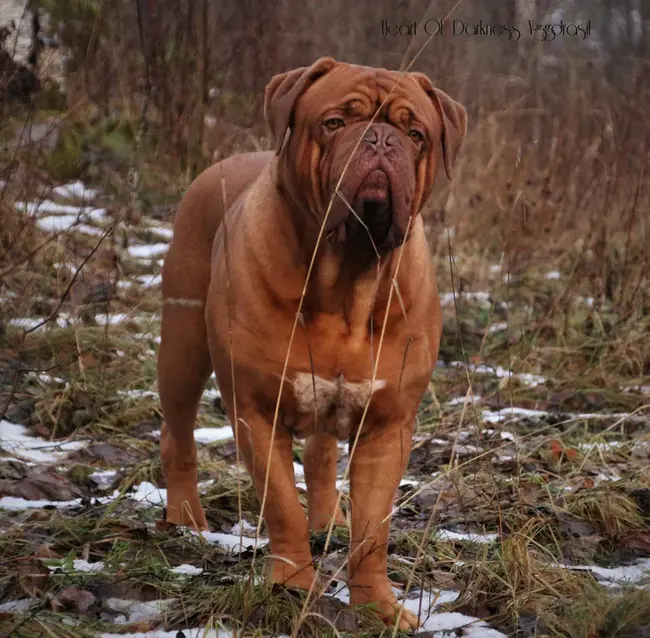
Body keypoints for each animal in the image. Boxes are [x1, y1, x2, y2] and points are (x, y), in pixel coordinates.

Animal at [158, 56, 466, 632]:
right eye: (334, 123)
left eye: (416, 135)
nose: (380, 140)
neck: (348, 275)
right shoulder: (257, 411)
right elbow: (281, 505)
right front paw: (294, 585)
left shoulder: (387, 426)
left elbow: (373, 533)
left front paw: (377, 606)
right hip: (182, 349)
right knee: (178, 435)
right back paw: (185, 518)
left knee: (322, 458)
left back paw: (329, 520)